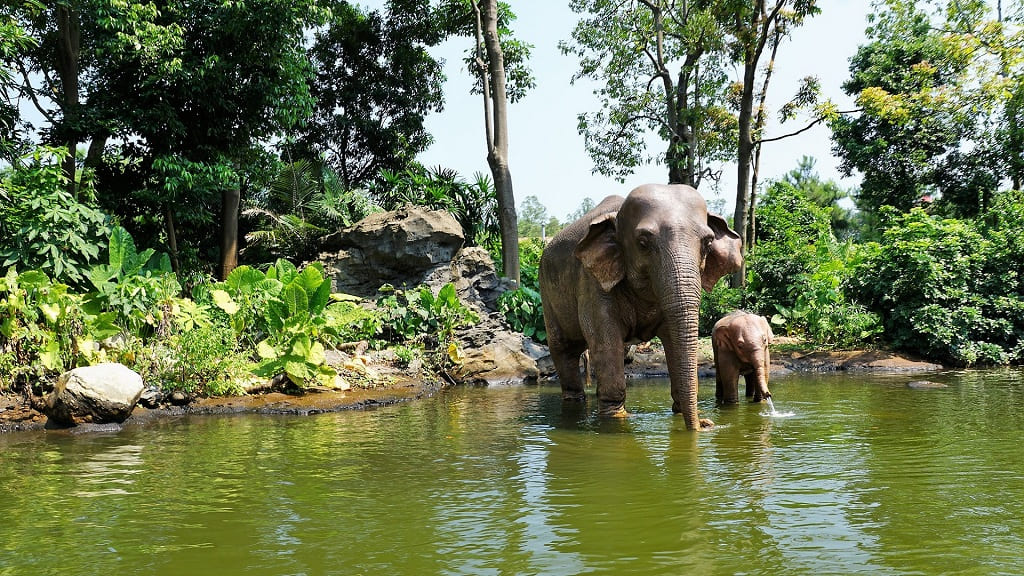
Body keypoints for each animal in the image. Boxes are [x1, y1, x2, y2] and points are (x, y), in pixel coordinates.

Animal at [540, 181, 741, 428]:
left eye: (708, 242)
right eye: (643, 243)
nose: (707, 423)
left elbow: (673, 341)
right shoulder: (592, 282)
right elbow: (606, 343)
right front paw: (617, 418)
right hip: (547, 294)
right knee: (564, 350)